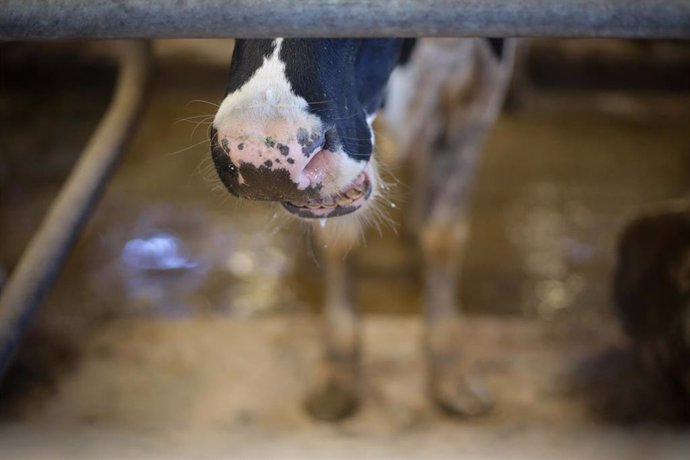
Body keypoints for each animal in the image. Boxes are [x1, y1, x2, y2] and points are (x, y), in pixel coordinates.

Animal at [207, 38, 512, 420]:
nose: (260, 157)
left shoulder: (480, 90)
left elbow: (443, 235)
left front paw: (450, 366)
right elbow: (339, 240)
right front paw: (339, 368)